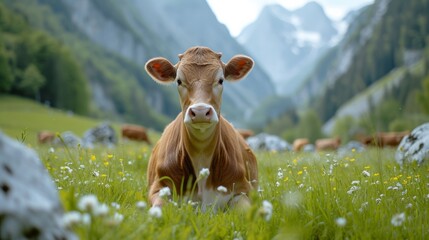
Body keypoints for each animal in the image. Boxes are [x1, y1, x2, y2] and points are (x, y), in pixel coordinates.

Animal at [144, 46, 258, 211]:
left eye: (221, 80)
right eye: (179, 81)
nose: (200, 111)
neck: (201, 153)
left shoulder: (244, 190)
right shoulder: (158, 187)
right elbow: (158, 207)